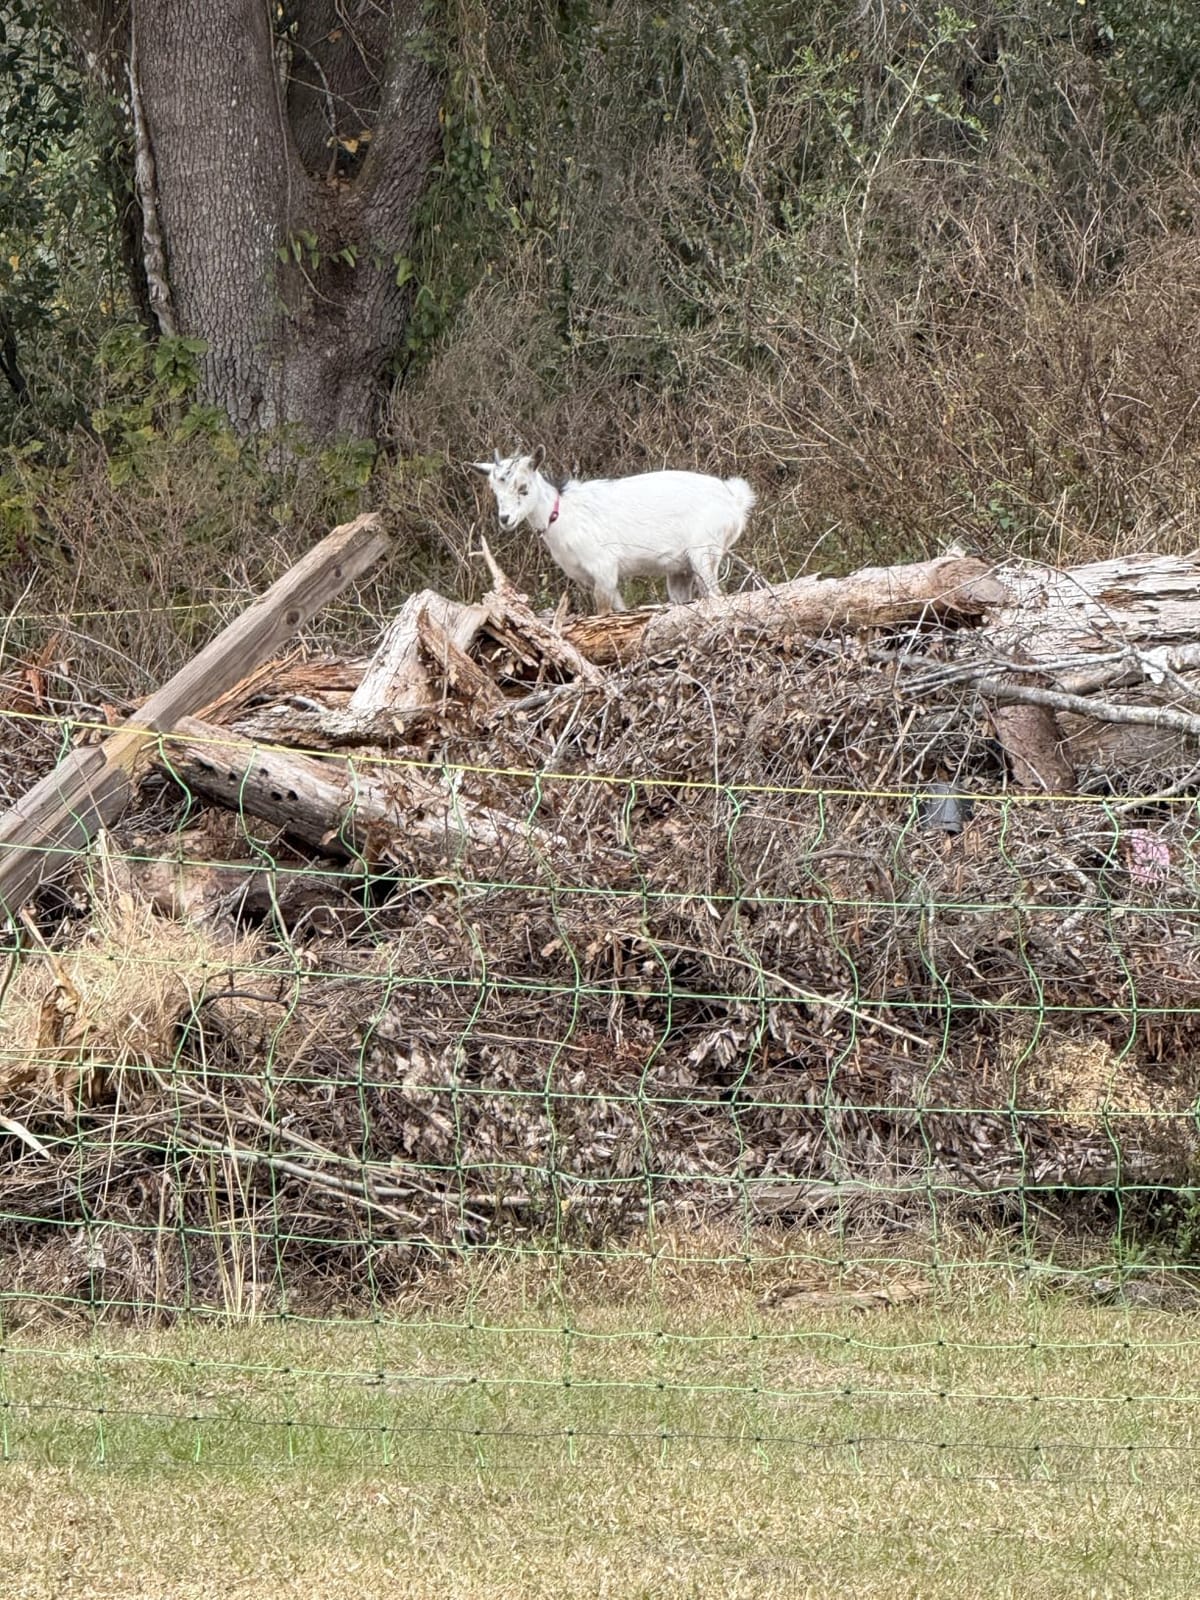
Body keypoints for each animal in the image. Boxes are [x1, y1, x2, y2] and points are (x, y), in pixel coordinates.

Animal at [471, 446, 756, 614]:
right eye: (495, 490)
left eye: (523, 488)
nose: (505, 519)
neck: (563, 513)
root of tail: (735, 499)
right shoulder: (596, 578)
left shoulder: (603, 569)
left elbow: (603, 614)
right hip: (681, 568)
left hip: (704, 552)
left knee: (716, 595)